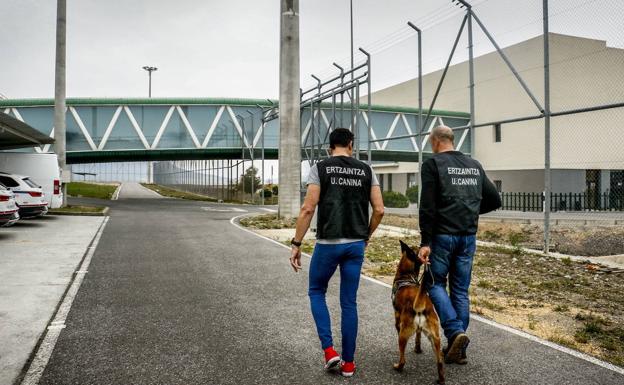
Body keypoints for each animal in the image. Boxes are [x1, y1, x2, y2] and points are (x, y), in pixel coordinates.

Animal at [392, 238, 446, 382]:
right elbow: (418, 336)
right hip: (435, 338)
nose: (426, 253)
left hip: (403, 335)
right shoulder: (420, 330)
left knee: (403, 359)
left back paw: (397, 367)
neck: (406, 277)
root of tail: (423, 306)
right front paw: (418, 349)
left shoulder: (397, 319)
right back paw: (441, 379)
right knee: (440, 361)